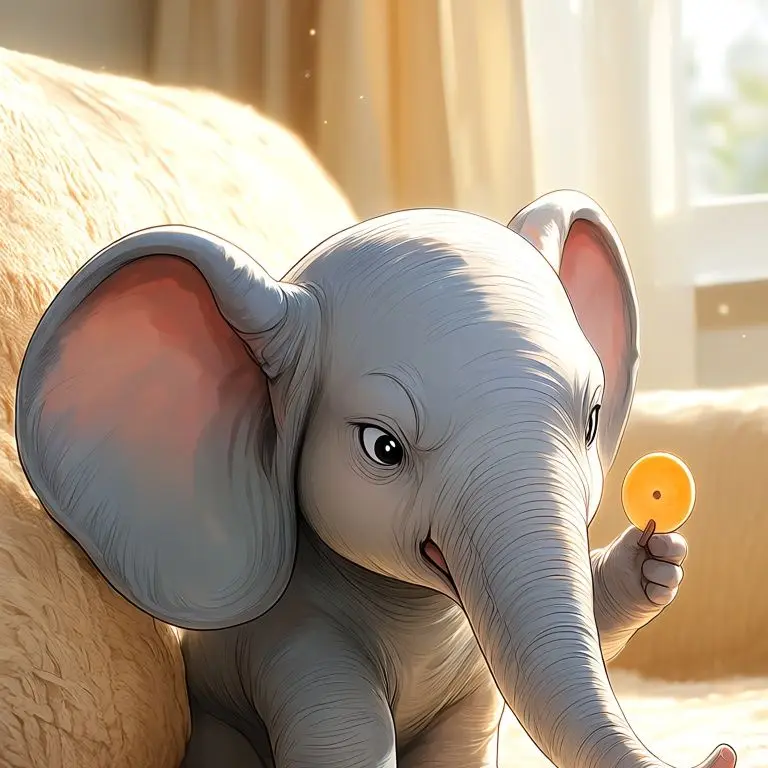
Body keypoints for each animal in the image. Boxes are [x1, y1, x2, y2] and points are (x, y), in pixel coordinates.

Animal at [14, 189, 736, 768]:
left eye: (591, 420)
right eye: (382, 447)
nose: (725, 752)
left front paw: (654, 563)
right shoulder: (295, 646)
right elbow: (348, 742)